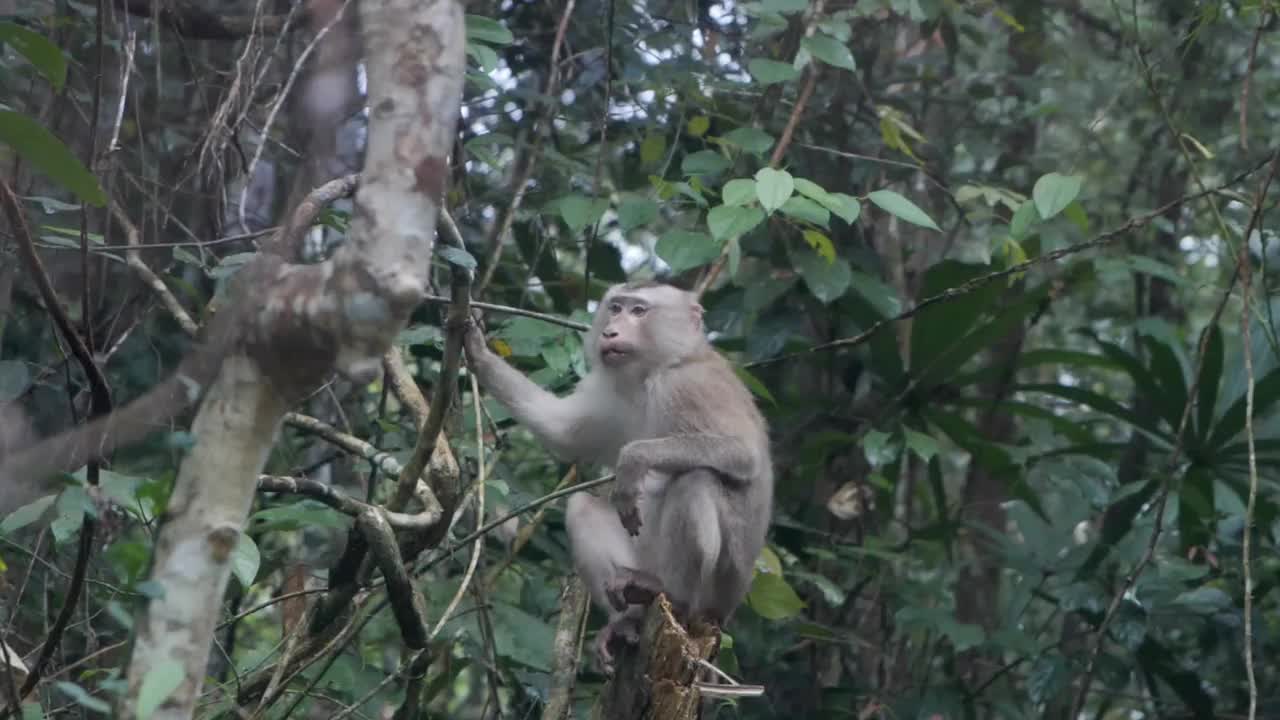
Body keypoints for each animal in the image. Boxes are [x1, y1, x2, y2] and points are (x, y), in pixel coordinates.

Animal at [465, 280, 773, 671]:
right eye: (615, 308)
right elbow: (564, 433)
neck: (653, 371)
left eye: (639, 311)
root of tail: (725, 612)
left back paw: (672, 593)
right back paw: (628, 619)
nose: (610, 331)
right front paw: (476, 349)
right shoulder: (614, 396)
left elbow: (742, 453)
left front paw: (632, 461)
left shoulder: (688, 385)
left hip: (717, 589)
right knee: (581, 507)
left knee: (695, 480)